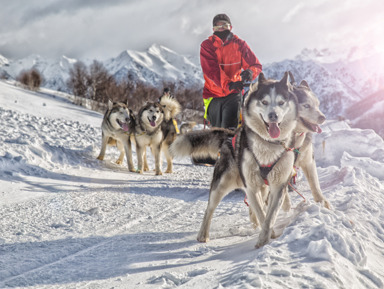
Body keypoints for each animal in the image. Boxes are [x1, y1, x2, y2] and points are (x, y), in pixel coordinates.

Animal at [171, 72, 300, 248]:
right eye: (264, 102)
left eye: (281, 102)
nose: (273, 116)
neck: (268, 143)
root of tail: (230, 134)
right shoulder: (251, 186)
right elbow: (262, 213)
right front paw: (265, 238)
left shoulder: (278, 186)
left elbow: (269, 215)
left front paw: (266, 235)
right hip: (222, 184)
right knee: (210, 208)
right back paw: (203, 234)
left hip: (262, 186)